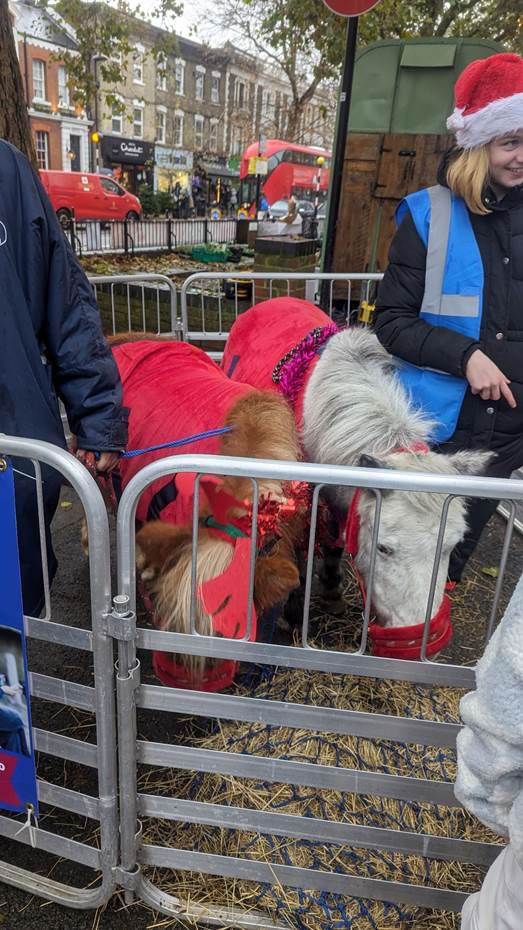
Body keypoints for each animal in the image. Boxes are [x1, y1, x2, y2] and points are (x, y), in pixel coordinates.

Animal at [222, 300, 492, 628]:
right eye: (383, 547)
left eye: (451, 546)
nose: (416, 627)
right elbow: (302, 546)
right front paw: (294, 609)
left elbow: (335, 544)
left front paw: (332, 590)